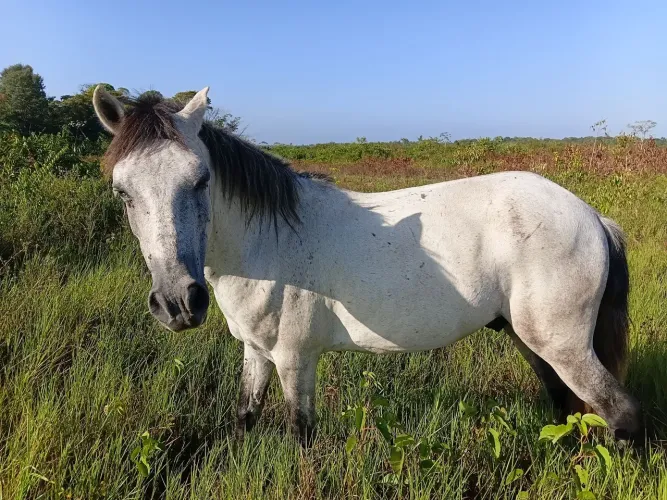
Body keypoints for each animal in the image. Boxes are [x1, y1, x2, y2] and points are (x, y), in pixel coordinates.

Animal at [92, 86, 641, 445]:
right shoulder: (256, 351)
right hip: (530, 338)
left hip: (564, 344)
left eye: (201, 179)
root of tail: (591, 215)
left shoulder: (295, 357)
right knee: (565, 402)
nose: (178, 304)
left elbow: (301, 433)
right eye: (122, 192)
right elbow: (244, 417)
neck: (269, 246)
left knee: (621, 412)